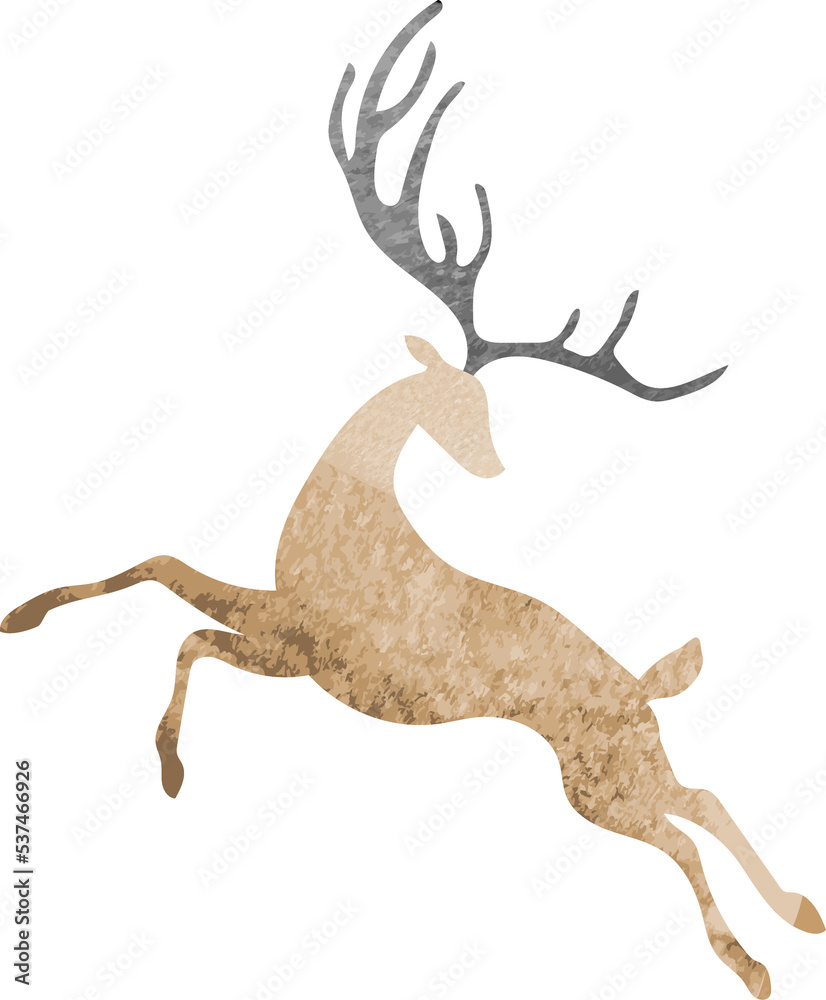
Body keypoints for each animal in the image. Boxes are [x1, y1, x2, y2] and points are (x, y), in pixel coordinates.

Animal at [2, 3, 821, 996]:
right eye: (461, 403)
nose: (496, 468)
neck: (337, 539)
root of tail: (640, 683)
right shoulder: (292, 633)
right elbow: (162, 568)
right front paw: (24, 617)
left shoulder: (310, 651)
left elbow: (188, 628)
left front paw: (168, 770)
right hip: (617, 762)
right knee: (698, 799)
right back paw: (799, 919)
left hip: (595, 773)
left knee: (680, 830)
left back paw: (751, 962)